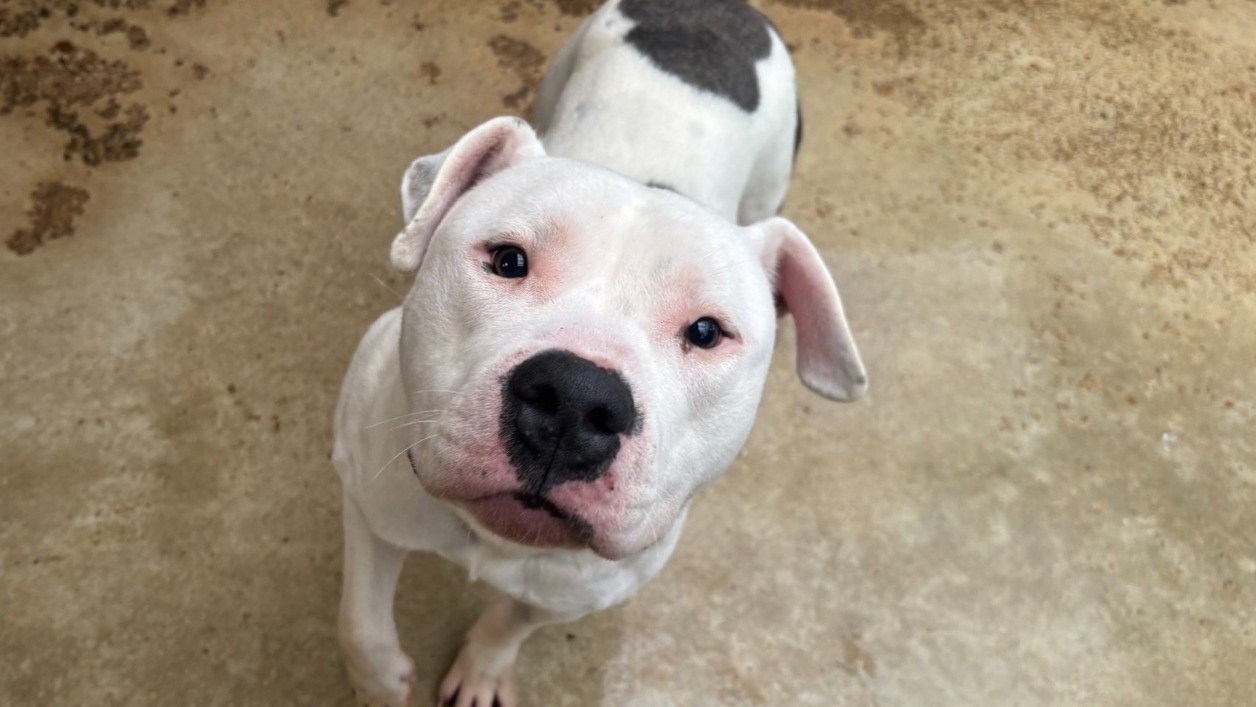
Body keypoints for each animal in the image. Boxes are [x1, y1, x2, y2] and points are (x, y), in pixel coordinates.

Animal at [332, 1, 867, 705]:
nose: (574, 399)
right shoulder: (365, 488)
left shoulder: (582, 590)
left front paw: (484, 668)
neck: (497, 540)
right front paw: (383, 683)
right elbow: (361, 629)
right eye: (508, 260)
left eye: (706, 332)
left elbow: (511, 621)